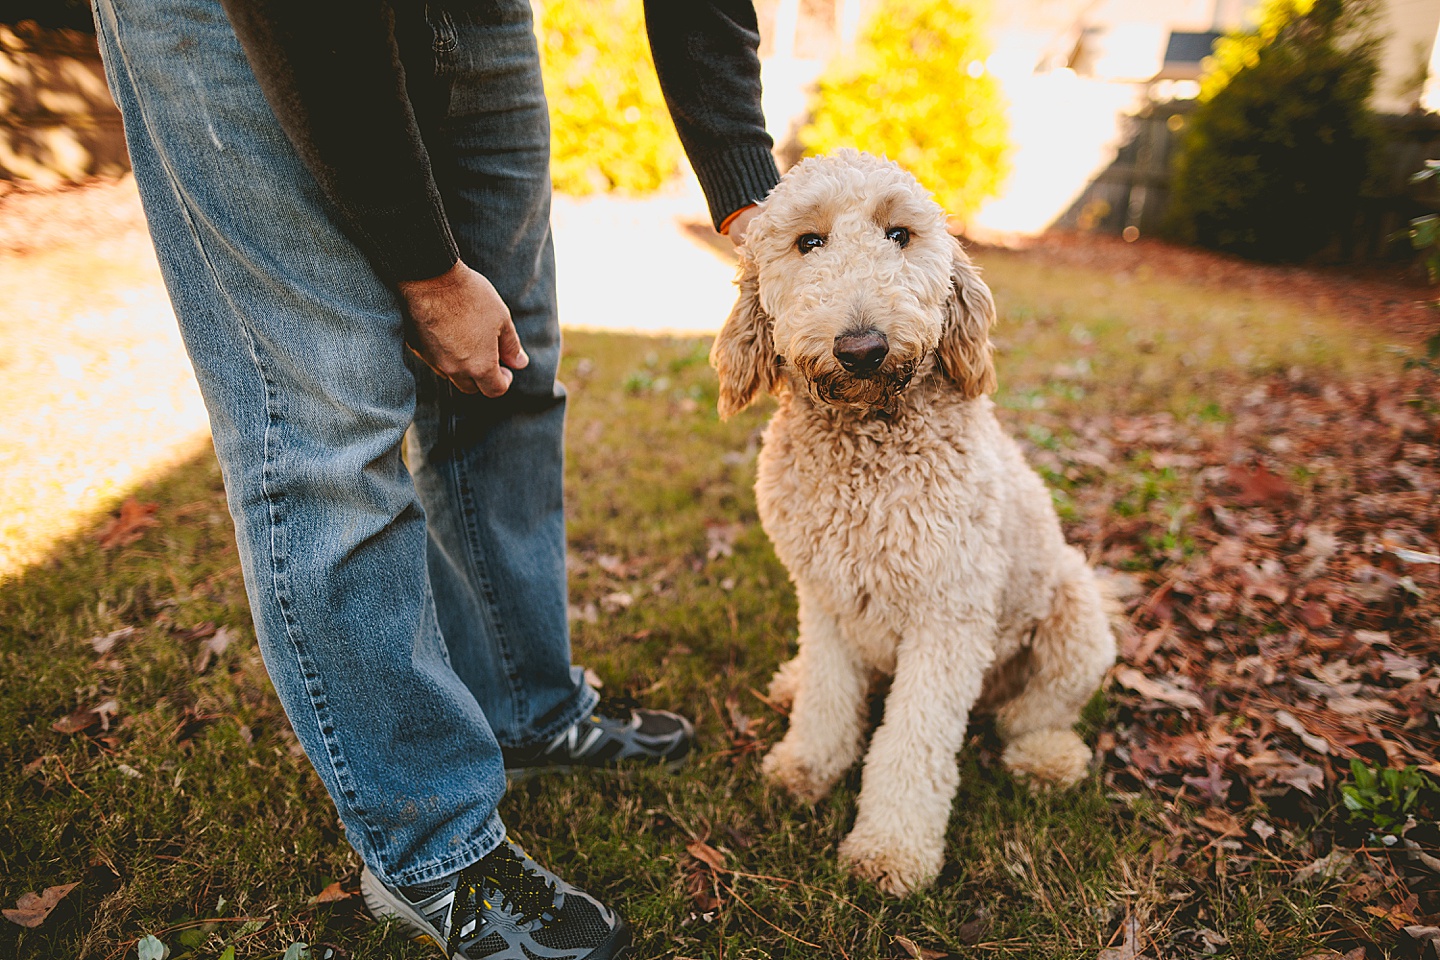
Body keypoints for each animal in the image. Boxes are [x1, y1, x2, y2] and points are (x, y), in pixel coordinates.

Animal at [714, 148, 1117, 892]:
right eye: (809, 242)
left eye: (899, 234)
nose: (862, 347)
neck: (866, 446)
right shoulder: (825, 596)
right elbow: (828, 695)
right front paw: (809, 764)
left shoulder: (947, 618)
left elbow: (913, 742)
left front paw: (891, 850)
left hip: (1075, 621)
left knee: (1035, 713)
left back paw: (1046, 756)